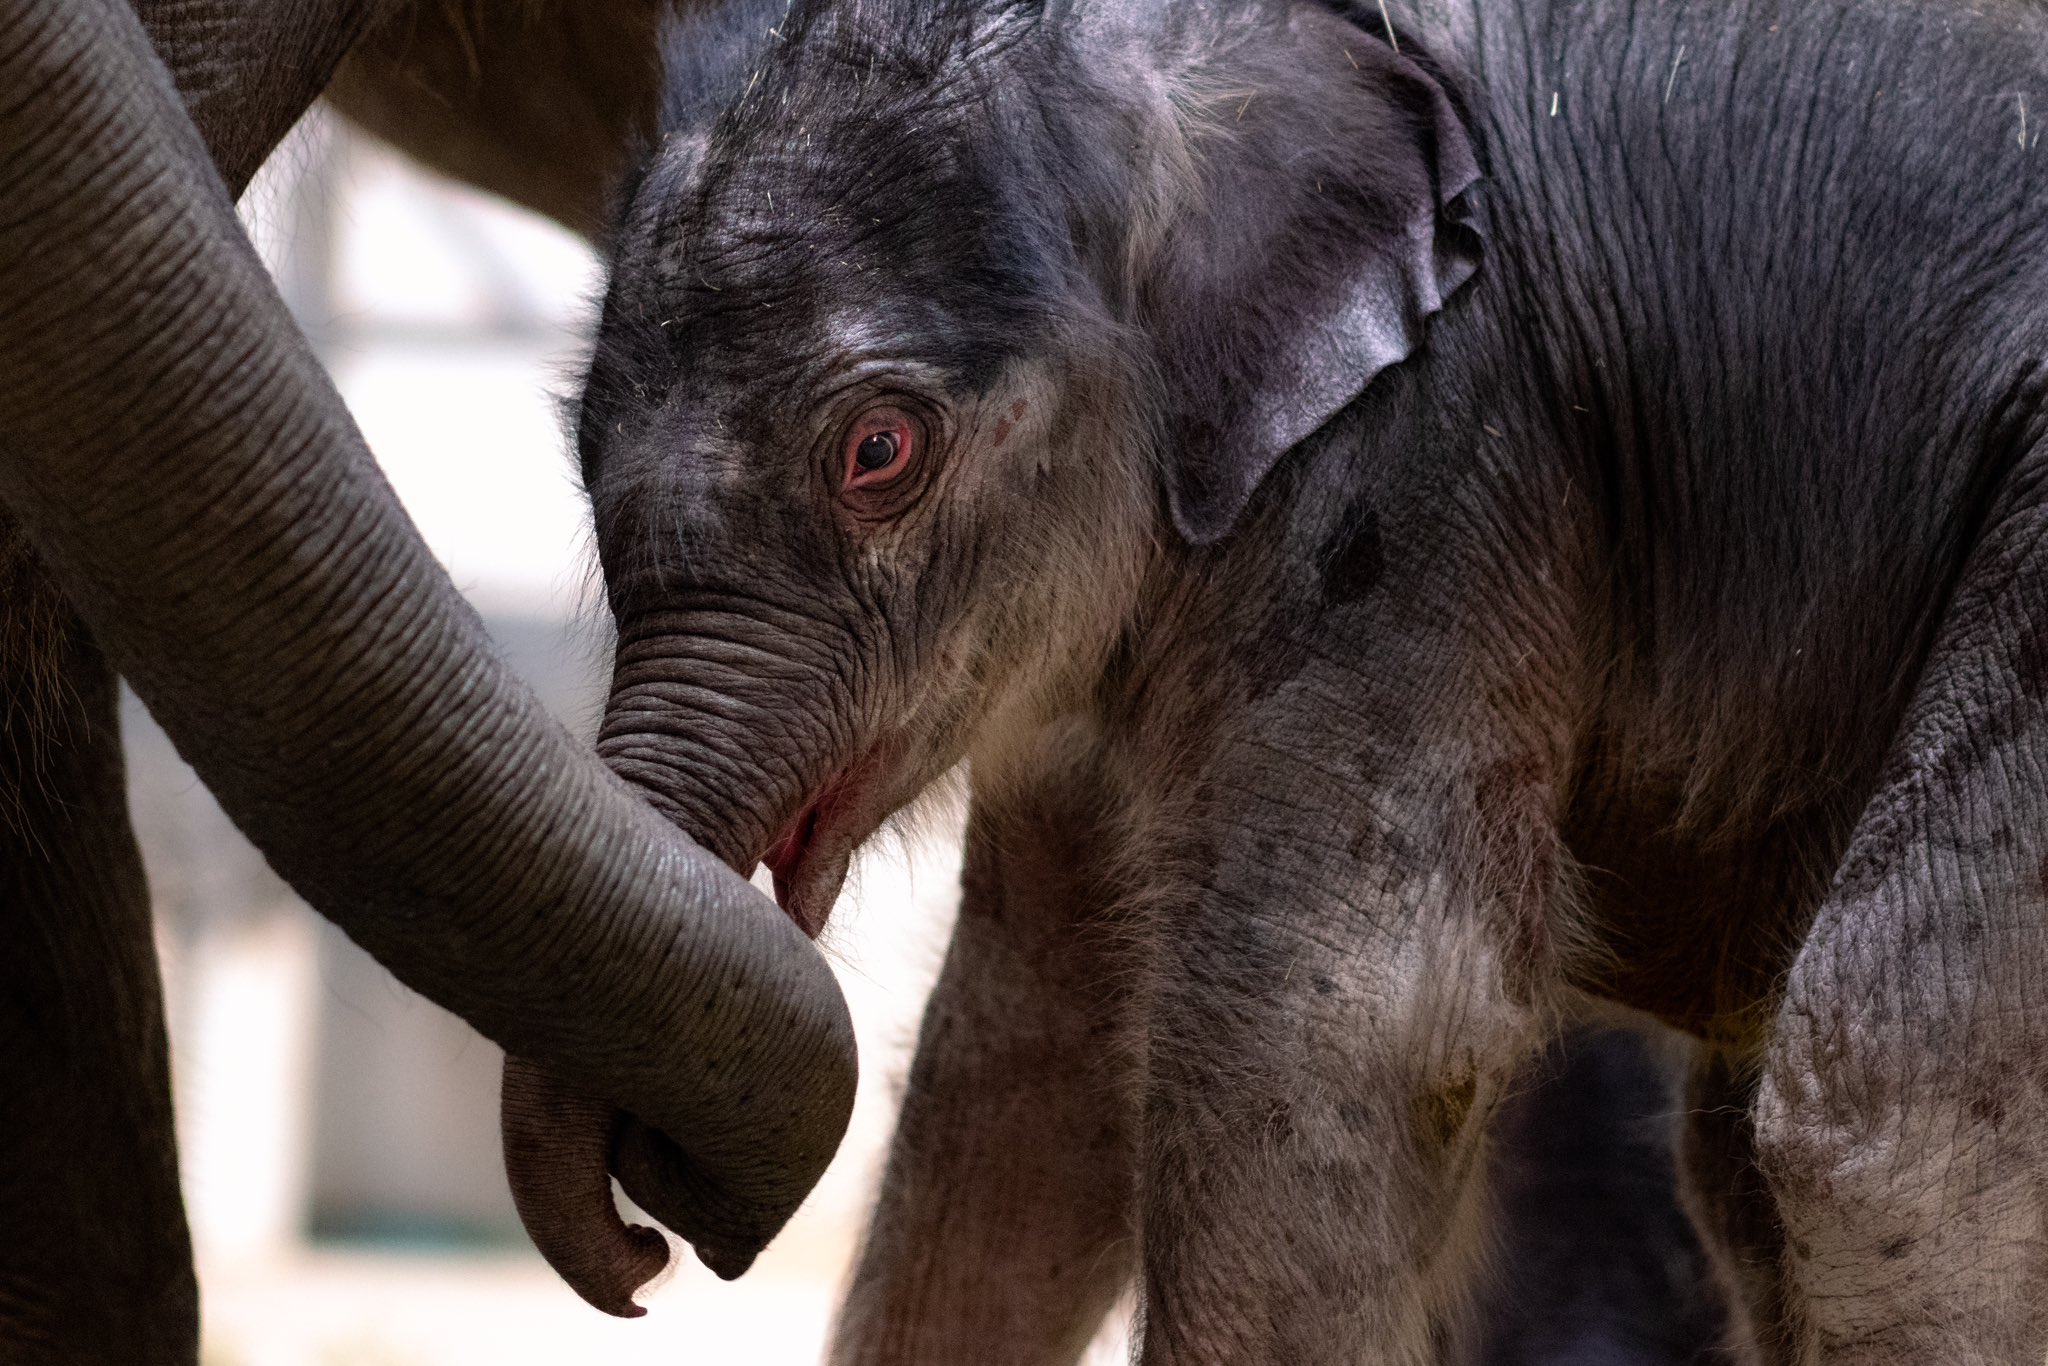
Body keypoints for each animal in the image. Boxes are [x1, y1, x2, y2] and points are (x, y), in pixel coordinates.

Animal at [569, 0, 2048, 1359]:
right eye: (577, 447)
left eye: (879, 450)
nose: (647, 1254)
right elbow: (1029, 1058)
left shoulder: (1432, 459)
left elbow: (1331, 1032)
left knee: (1883, 1104)